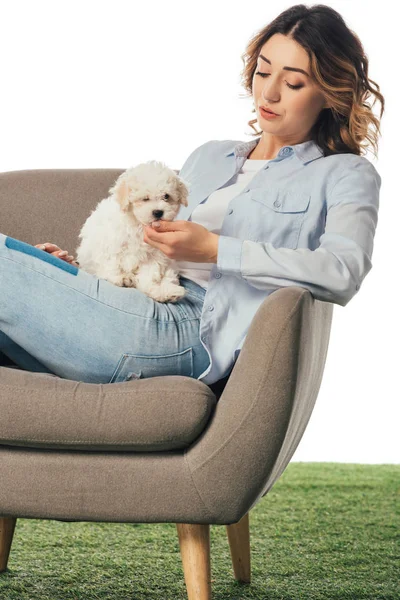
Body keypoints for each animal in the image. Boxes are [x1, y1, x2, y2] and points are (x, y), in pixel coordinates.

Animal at [75, 159, 191, 302]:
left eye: (166, 196)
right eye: (145, 198)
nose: (158, 212)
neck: (139, 226)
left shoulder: (153, 255)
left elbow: (149, 274)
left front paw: (154, 289)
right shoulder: (111, 245)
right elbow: (112, 263)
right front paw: (120, 277)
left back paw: (167, 292)